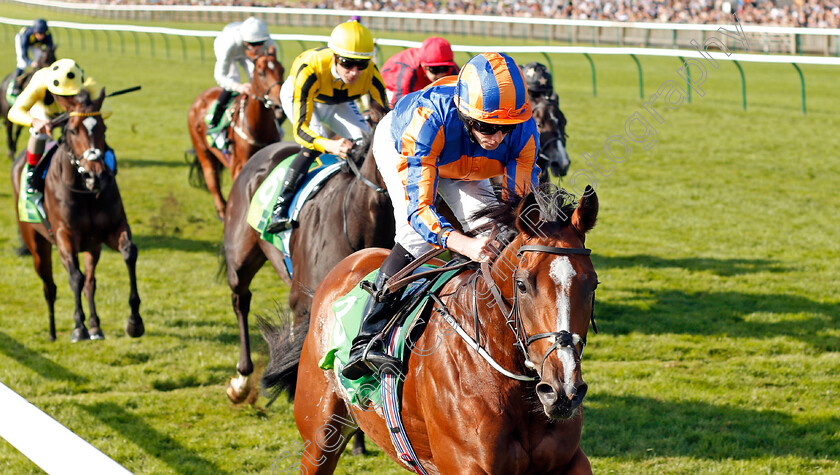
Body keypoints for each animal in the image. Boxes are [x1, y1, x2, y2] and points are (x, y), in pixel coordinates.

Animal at [10, 89, 143, 342]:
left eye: (103, 128)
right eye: (72, 130)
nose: (96, 176)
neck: (85, 193)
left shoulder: (112, 229)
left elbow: (129, 253)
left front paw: (134, 321)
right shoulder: (64, 236)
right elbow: (75, 277)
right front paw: (78, 327)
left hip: (92, 246)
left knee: (90, 282)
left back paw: (95, 326)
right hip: (37, 245)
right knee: (50, 287)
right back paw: (53, 332)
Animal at [187, 48, 286, 219]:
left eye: (282, 70)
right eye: (261, 73)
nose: (279, 106)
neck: (258, 128)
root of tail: (199, 98)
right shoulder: (239, 166)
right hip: (203, 150)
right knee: (212, 179)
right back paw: (222, 211)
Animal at [262, 185, 596, 472]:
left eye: (592, 284)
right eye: (523, 285)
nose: (563, 391)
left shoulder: (571, 461)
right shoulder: (465, 465)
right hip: (318, 435)